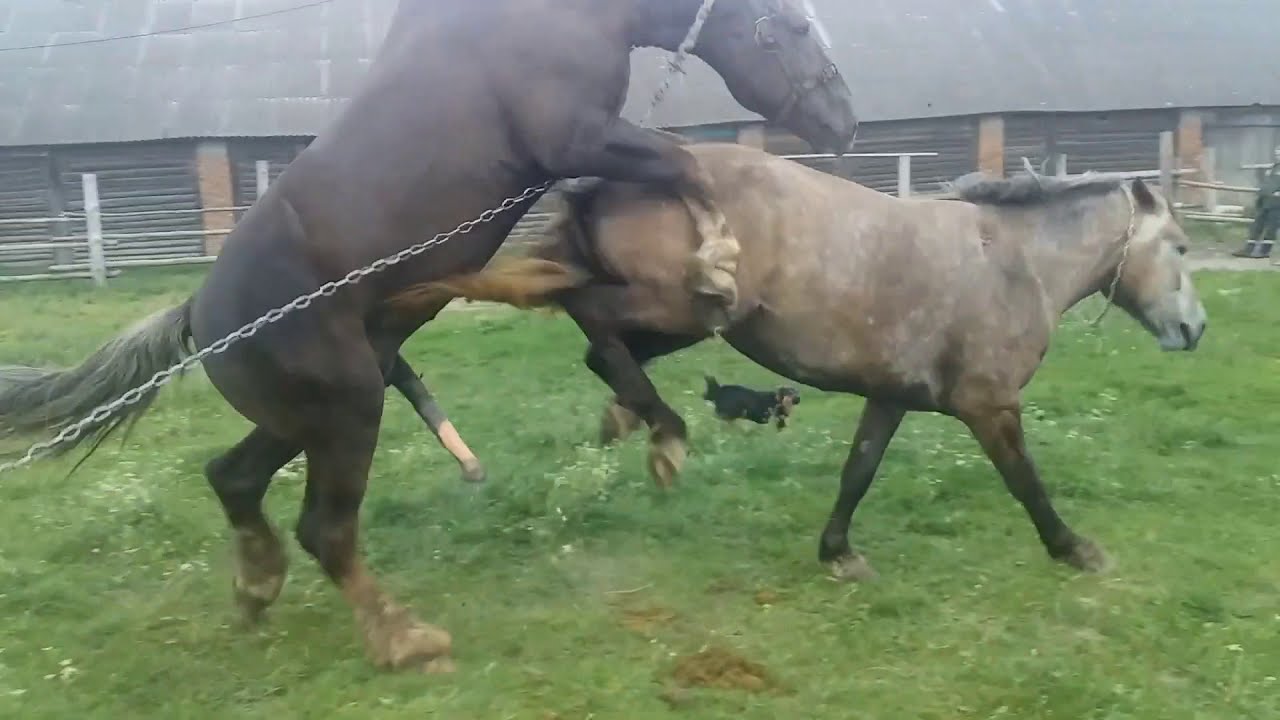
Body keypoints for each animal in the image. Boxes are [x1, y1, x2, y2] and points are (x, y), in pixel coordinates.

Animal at [0, 2, 860, 671]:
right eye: (790, 26)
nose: (844, 120)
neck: (562, 14)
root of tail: (199, 319)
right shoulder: (577, 136)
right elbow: (686, 164)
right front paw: (716, 266)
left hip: (317, 412)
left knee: (234, 479)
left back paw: (257, 587)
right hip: (349, 409)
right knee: (325, 530)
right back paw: (404, 640)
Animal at [401, 141, 1208, 584]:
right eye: (1179, 246)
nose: (1195, 330)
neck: (1012, 263)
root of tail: (606, 178)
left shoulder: (891, 395)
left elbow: (858, 471)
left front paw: (838, 554)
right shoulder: (989, 405)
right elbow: (1025, 483)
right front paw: (1076, 550)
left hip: (691, 319)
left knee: (603, 350)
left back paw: (633, 420)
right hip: (681, 307)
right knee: (591, 319)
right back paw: (662, 433)